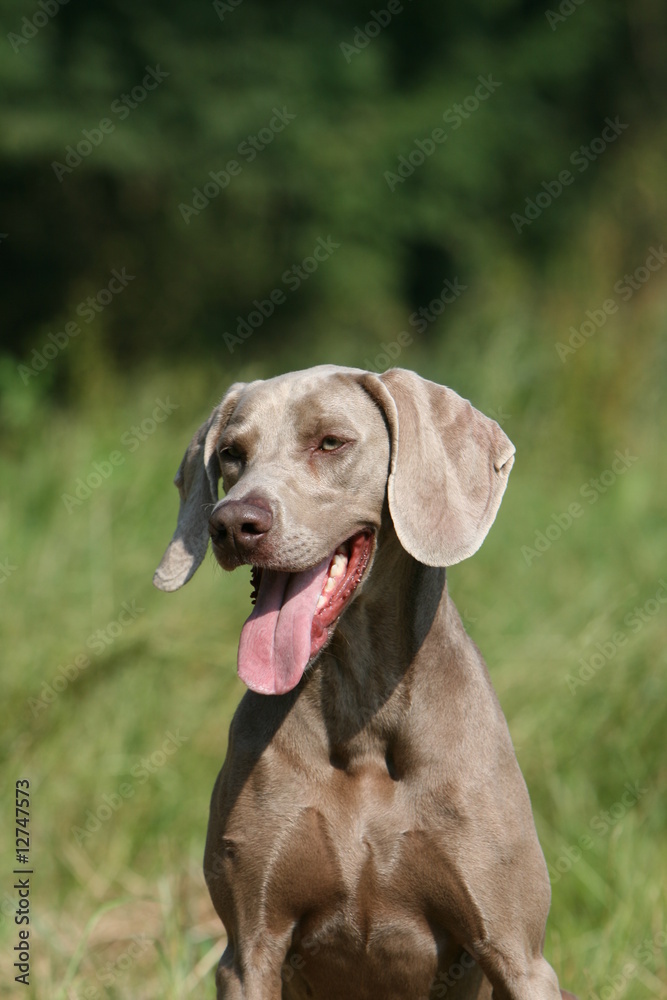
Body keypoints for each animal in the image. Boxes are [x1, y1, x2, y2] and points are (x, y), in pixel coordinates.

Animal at [154, 366, 576, 1000]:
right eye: (231, 454)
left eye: (330, 442)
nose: (231, 522)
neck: (360, 712)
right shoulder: (249, 948)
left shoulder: (517, 953)